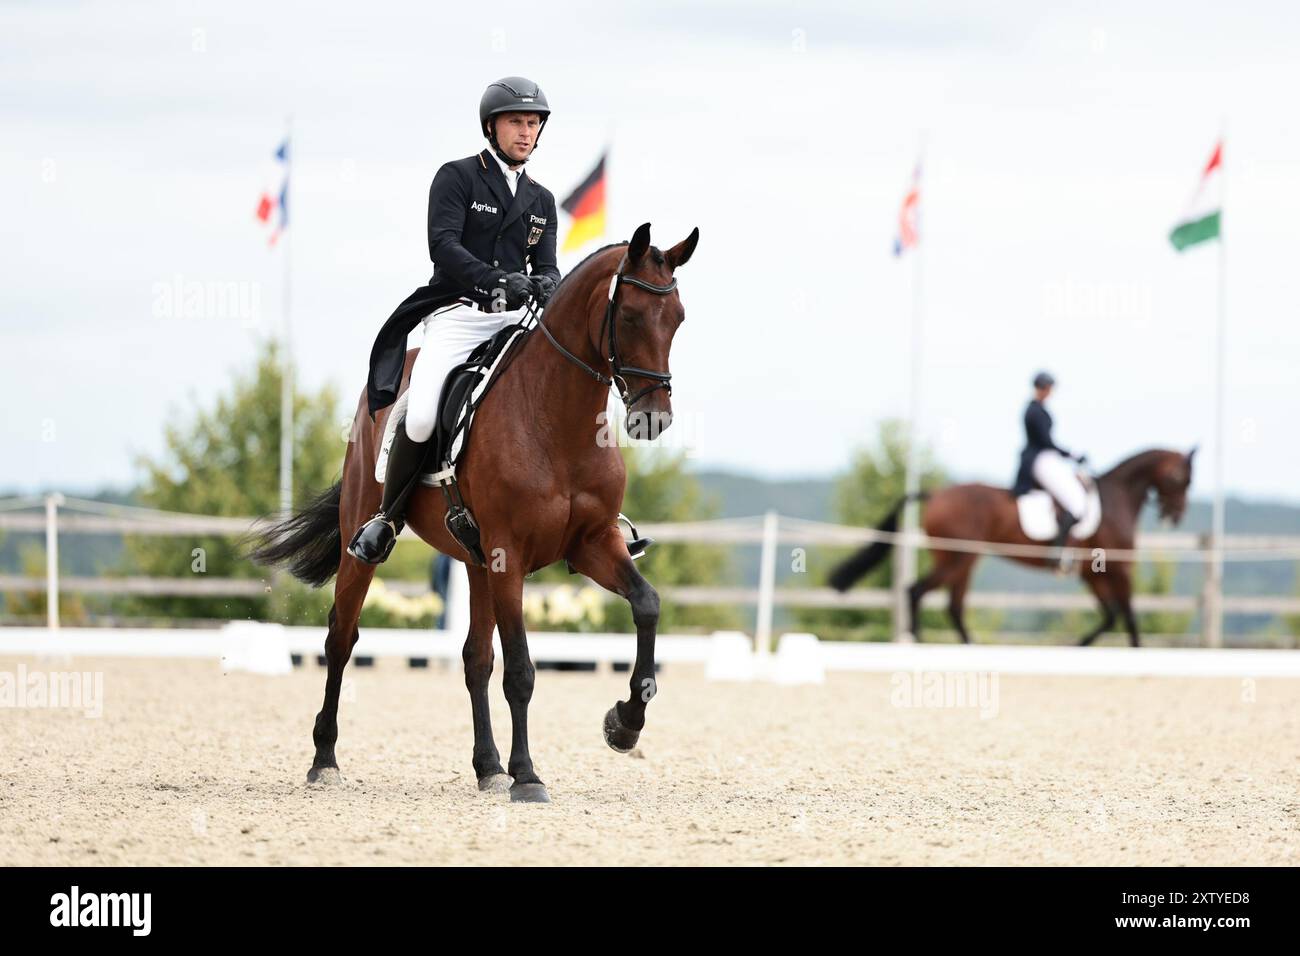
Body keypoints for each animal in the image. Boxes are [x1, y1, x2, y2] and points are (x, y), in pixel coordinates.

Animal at [253, 226, 702, 806]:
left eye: (679, 318)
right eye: (627, 316)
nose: (654, 419)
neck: (558, 419)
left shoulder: (593, 543)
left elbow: (646, 604)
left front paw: (624, 724)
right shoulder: (509, 554)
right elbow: (521, 670)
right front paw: (528, 776)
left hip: (474, 563)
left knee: (473, 659)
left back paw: (488, 767)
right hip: (371, 539)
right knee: (341, 638)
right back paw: (324, 760)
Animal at [832, 450, 1196, 650]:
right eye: (1182, 479)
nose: (1177, 515)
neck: (1115, 498)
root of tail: (936, 494)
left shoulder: (1094, 574)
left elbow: (1111, 616)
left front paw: (1077, 647)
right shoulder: (1119, 569)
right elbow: (1129, 616)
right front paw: (1136, 650)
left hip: (965, 560)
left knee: (953, 606)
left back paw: (969, 647)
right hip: (957, 557)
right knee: (917, 591)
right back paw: (922, 642)